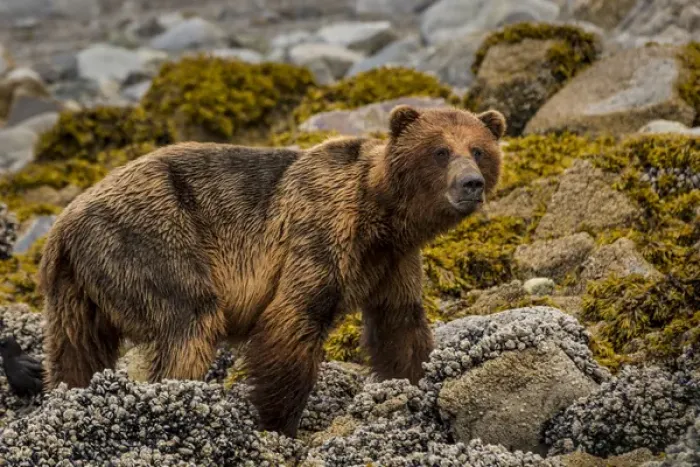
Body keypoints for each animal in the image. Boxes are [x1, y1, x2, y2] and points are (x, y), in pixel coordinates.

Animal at [38, 104, 506, 438]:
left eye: (479, 149)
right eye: (440, 151)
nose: (471, 183)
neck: (381, 215)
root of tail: (63, 225)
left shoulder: (393, 263)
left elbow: (401, 326)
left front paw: (418, 384)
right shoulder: (319, 235)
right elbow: (293, 320)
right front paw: (278, 422)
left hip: (77, 290)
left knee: (76, 352)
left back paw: (69, 397)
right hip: (151, 240)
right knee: (189, 323)